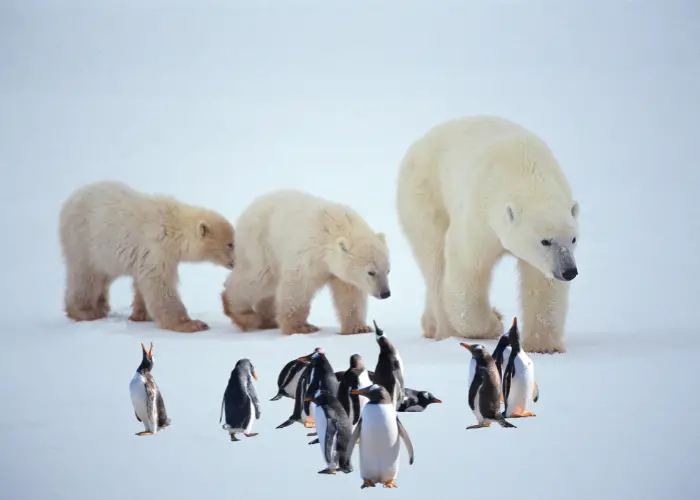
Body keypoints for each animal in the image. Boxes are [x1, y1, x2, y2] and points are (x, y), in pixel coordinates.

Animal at [60, 180, 235, 332]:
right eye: (230, 244)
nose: (235, 263)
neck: (173, 226)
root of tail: (69, 202)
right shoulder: (156, 246)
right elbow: (158, 283)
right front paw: (193, 324)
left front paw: (141, 315)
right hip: (84, 243)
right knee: (86, 277)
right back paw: (86, 311)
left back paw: (101, 306)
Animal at [221, 190, 392, 336]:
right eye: (371, 272)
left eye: (388, 270)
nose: (385, 293)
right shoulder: (307, 254)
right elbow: (298, 287)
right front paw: (301, 327)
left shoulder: (340, 271)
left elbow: (350, 294)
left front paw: (359, 328)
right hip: (260, 244)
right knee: (257, 278)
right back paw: (240, 312)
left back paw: (268, 319)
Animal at [396, 115, 584, 354]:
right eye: (545, 241)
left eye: (573, 239)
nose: (569, 271)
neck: (525, 170)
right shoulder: (480, 215)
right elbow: (467, 269)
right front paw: (494, 321)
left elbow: (541, 281)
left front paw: (544, 346)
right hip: (424, 193)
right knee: (435, 259)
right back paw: (446, 330)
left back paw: (430, 325)